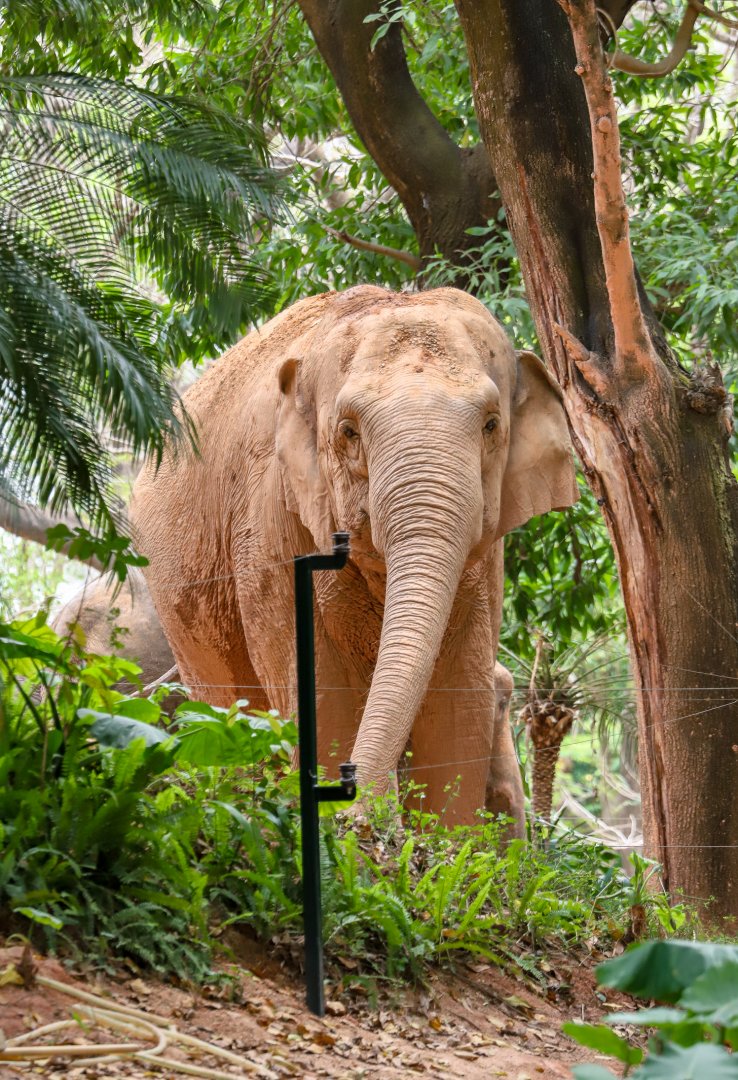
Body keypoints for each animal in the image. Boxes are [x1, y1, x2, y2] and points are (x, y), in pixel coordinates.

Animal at [130, 286, 577, 827]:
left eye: (492, 425)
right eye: (349, 432)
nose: (354, 796)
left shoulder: (486, 560)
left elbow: (458, 705)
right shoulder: (269, 520)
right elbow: (326, 694)